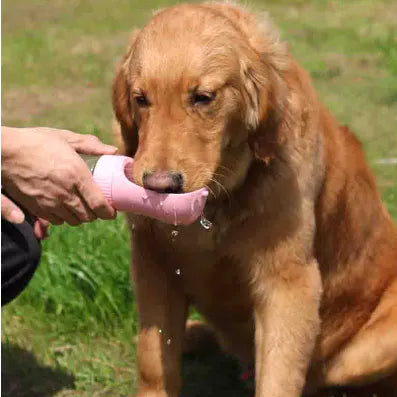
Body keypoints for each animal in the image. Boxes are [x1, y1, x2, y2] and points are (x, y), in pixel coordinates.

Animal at [110, 2, 396, 392]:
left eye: (203, 97)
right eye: (141, 99)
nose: (159, 186)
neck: (217, 201)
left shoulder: (289, 282)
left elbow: (279, 375)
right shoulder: (152, 265)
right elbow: (154, 361)